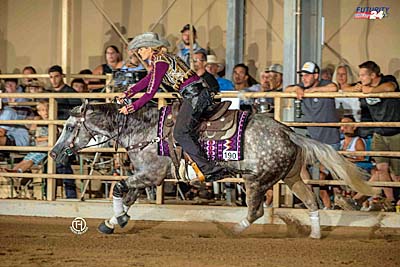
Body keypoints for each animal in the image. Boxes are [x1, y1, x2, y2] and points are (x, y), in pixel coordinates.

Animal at [50, 103, 376, 241]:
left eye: (69, 126)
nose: (53, 153)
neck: (145, 130)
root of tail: (289, 132)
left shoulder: (152, 175)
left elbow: (119, 188)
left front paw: (116, 220)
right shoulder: (144, 176)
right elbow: (127, 196)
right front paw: (114, 221)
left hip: (256, 179)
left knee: (256, 211)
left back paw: (232, 231)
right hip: (291, 177)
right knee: (311, 202)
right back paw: (316, 236)